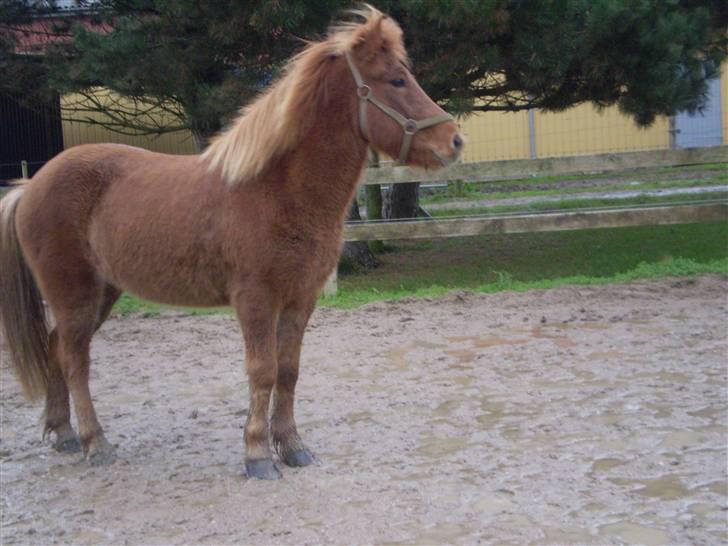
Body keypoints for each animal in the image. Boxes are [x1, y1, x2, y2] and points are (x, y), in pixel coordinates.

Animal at [0, 6, 464, 478]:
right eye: (397, 80)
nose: (454, 141)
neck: (276, 191)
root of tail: (32, 185)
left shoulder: (300, 299)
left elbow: (288, 370)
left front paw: (292, 446)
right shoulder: (255, 299)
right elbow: (262, 371)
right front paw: (257, 454)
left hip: (103, 293)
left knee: (56, 349)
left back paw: (63, 434)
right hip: (74, 294)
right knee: (75, 361)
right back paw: (96, 443)